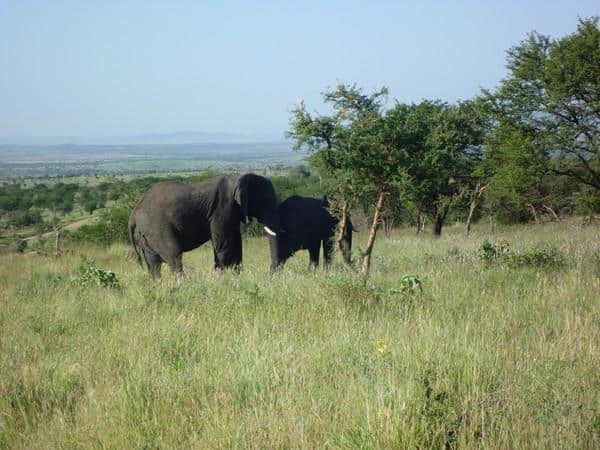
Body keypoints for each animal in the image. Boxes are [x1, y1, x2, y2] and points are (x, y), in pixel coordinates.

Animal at [129, 173, 278, 276]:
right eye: (266, 200)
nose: (271, 273)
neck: (238, 177)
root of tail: (133, 215)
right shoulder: (222, 208)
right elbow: (224, 242)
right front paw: (224, 278)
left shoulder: (233, 211)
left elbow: (236, 241)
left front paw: (237, 276)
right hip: (157, 229)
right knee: (174, 257)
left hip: (145, 234)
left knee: (153, 265)